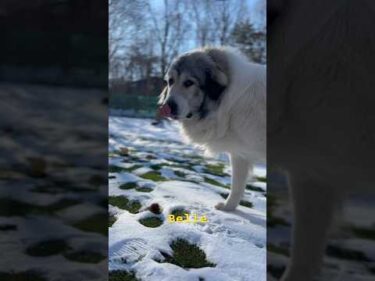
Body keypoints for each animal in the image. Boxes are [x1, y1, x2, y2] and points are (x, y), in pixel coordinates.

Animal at [159, 47, 268, 210]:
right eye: (170, 81)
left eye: (189, 83)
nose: (167, 107)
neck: (230, 101)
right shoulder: (239, 154)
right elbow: (237, 185)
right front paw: (229, 208)